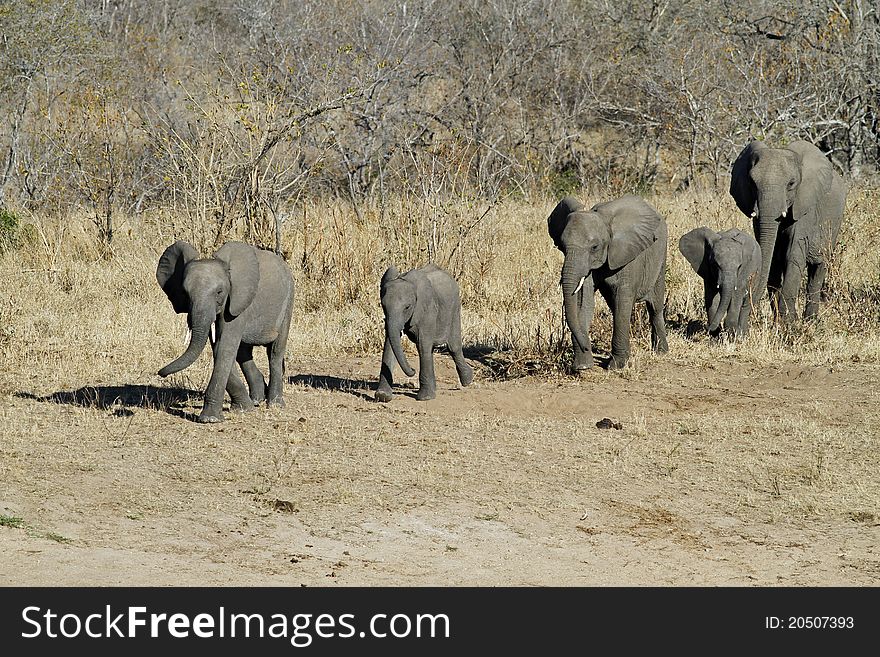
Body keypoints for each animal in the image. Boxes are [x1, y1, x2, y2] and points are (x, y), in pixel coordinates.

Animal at [156, 240, 294, 420]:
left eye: (219, 292)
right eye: (185, 294)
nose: (160, 373)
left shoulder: (237, 300)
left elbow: (224, 347)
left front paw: (209, 419)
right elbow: (218, 347)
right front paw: (243, 409)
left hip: (288, 300)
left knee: (275, 351)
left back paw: (275, 404)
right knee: (243, 353)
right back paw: (256, 399)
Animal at [376, 264, 478, 402]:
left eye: (407, 307)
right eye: (383, 306)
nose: (412, 370)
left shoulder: (427, 309)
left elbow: (422, 344)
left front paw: (425, 398)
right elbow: (390, 344)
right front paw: (382, 396)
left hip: (455, 308)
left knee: (453, 347)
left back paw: (467, 380)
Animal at [552, 193, 668, 368]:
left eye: (594, 247)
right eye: (562, 247)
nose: (587, 347)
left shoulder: (628, 253)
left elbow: (623, 298)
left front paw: (617, 365)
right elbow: (583, 301)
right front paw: (582, 366)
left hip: (661, 257)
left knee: (655, 307)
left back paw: (661, 352)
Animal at [728, 140, 844, 322]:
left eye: (791, 184)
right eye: (752, 183)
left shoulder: (805, 207)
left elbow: (793, 254)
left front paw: (790, 323)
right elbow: (773, 259)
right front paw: (780, 322)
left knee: (818, 268)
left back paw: (810, 321)